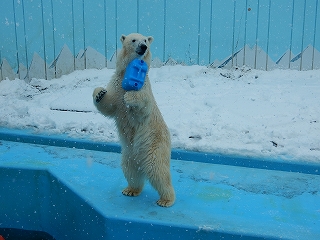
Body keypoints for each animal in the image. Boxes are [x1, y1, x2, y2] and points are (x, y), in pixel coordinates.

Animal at [92, 33, 176, 206]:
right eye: (133, 40)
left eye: (145, 41)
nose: (143, 47)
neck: (126, 71)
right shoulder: (116, 84)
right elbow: (109, 105)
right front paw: (99, 93)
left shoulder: (144, 88)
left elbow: (142, 108)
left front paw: (130, 97)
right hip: (129, 153)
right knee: (130, 170)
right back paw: (130, 190)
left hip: (154, 146)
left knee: (158, 170)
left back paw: (166, 199)